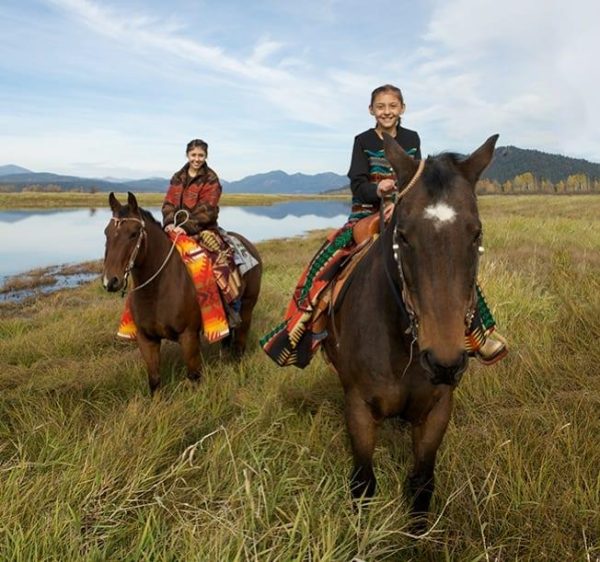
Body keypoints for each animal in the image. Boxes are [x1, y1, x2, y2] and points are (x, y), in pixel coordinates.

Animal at [102, 190, 262, 392]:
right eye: (106, 233)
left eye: (134, 233)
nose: (110, 281)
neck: (157, 291)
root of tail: (249, 246)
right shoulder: (146, 339)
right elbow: (155, 381)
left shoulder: (189, 337)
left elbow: (194, 377)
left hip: (247, 308)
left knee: (239, 345)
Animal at [322, 133, 500, 524]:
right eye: (402, 235)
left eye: (476, 232)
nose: (444, 362)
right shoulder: (358, 409)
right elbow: (363, 485)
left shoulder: (437, 410)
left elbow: (421, 484)